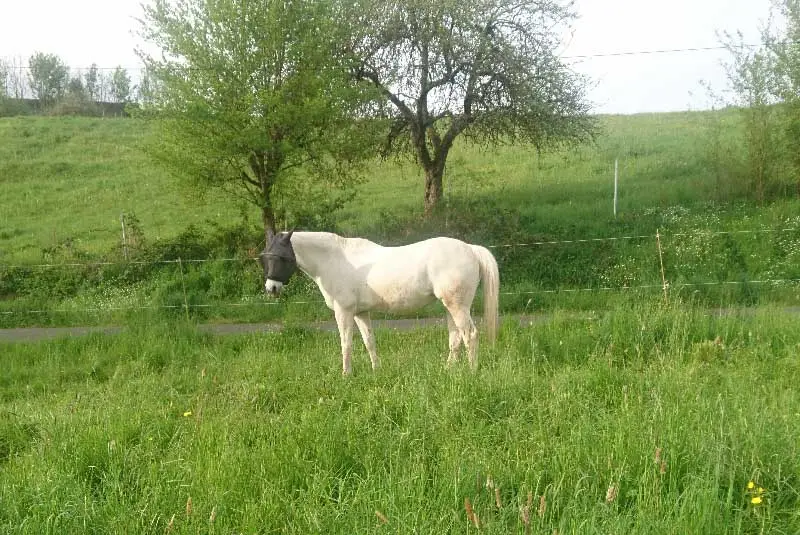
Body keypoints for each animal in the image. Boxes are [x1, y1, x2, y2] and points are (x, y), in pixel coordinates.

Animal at [260, 231, 500, 376]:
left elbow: (346, 343)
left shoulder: (344, 312)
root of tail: (470, 249)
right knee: (456, 338)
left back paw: (472, 372)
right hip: (451, 306)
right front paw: (377, 370)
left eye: (281, 257)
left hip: (457, 306)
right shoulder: (360, 313)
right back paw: (448, 370)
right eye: (265, 257)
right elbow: (369, 341)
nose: (271, 288)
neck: (334, 260)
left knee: (470, 335)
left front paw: (346, 375)